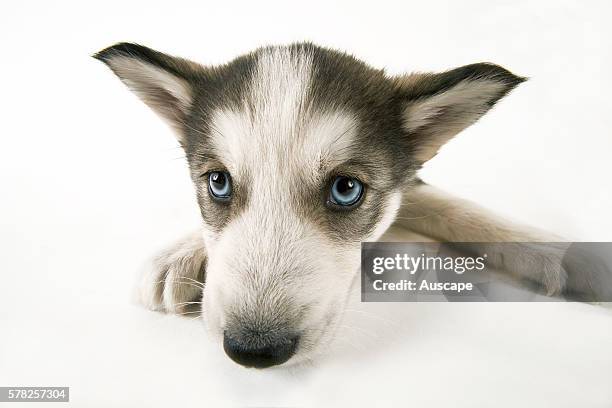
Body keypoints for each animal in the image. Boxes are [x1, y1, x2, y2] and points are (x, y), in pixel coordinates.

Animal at [94, 43, 572, 368]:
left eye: (345, 190)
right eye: (218, 182)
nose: (254, 348)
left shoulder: (410, 179)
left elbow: (441, 204)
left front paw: (552, 251)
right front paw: (180, 253)